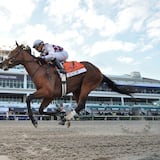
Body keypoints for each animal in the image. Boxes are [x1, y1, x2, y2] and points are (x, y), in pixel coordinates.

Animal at [0, 42, 132, 127]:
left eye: (13, 52)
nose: (2, 64)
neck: (40, 70)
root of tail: (99, 71)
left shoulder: (47, 92)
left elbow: (28, 98)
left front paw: (35, 121)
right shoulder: (49, 96)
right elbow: (41, 110)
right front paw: (59, 113)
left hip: (87, 85)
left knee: (81, 105)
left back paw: (66, 118)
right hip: (77, 90)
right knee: (81, 105)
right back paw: (66, 118)